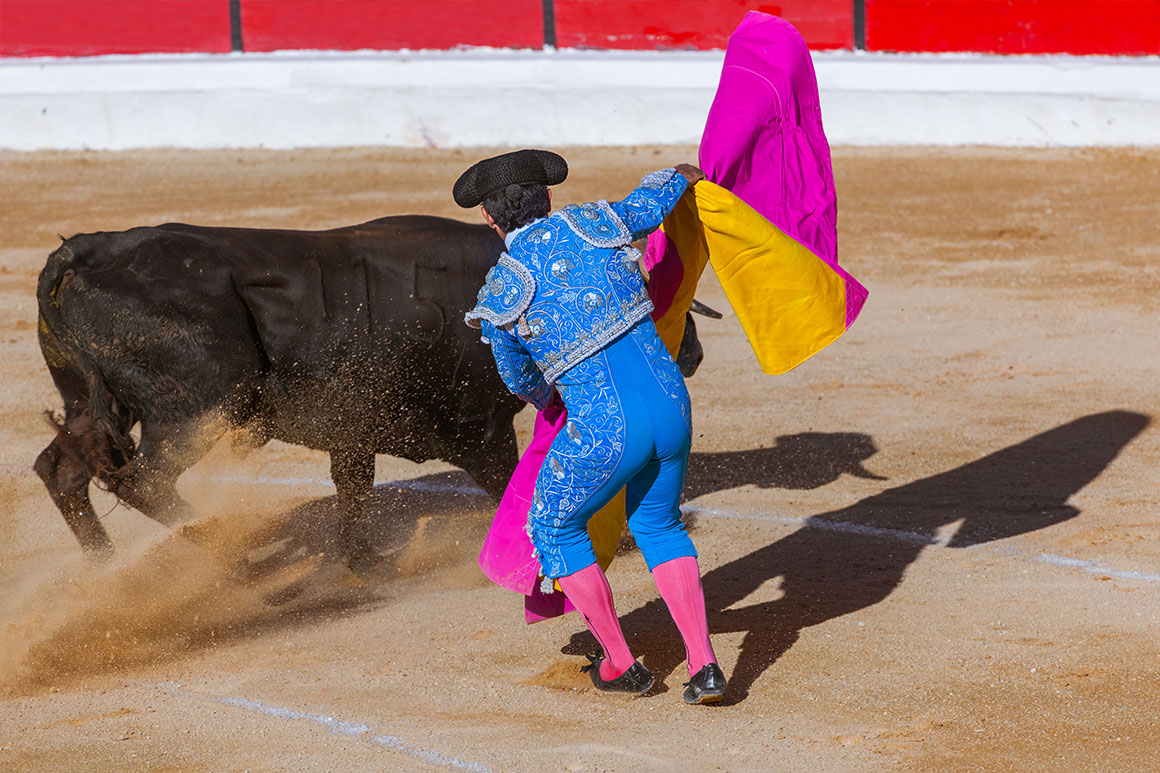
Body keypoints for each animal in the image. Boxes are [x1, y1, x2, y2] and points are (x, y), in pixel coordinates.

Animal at [33, 213, 705, 568]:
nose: (693, 352)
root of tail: (86, 250)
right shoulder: (480, 428)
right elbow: (505, 481)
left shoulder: (354, 425)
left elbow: (352, 489)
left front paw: (363, 561)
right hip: (199, 410)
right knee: (140, 481)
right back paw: (234, 558)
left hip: (90, 404)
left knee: (61, 469)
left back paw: (106, 565)